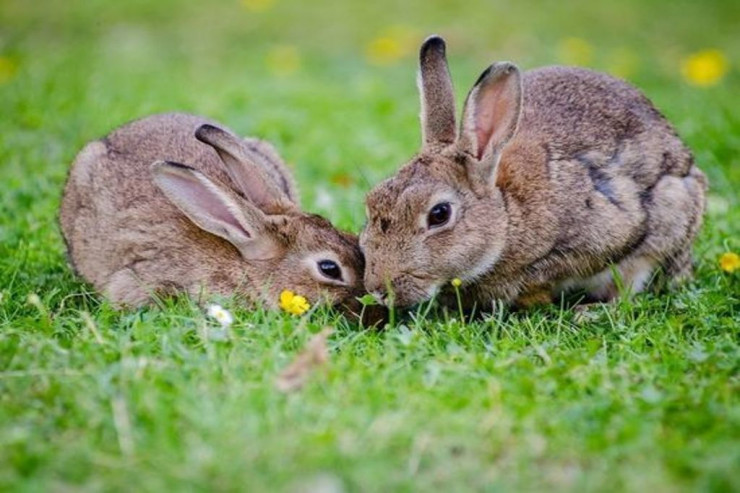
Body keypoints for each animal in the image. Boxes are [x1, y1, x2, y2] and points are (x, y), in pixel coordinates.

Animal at [362, 36, 708, 310]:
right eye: (371, 202)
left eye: (439, 214)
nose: (378, 290)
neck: (507, 216)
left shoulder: (608, 232)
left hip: (671, 213)